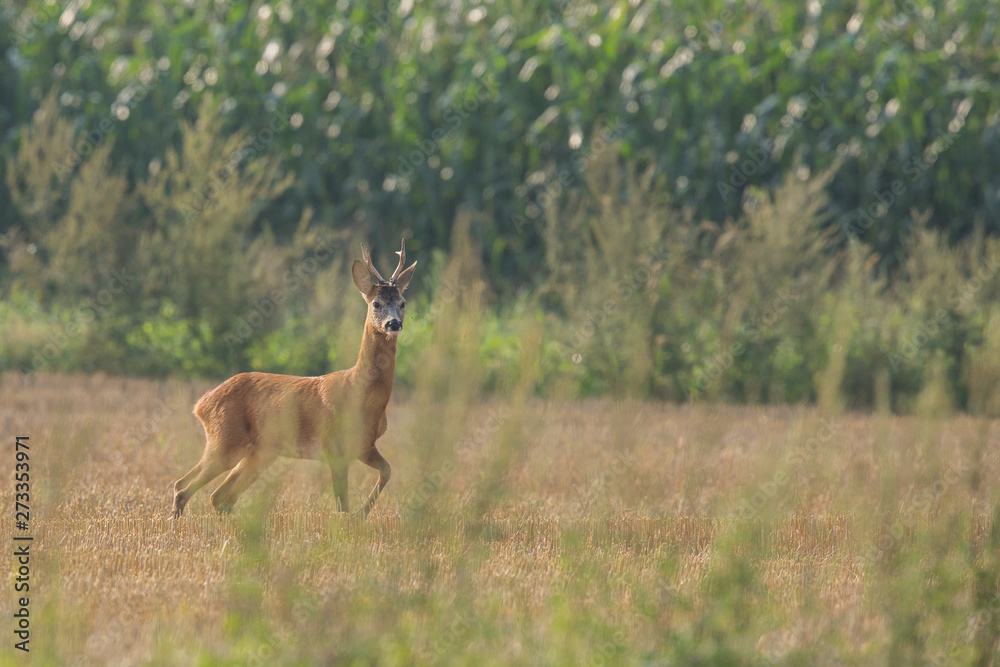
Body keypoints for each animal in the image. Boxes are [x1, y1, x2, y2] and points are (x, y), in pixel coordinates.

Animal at [172, 239, 416, 518]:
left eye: (403, 302)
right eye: (376, 303)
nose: (393, 324)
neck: (359, 391)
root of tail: (201, 404)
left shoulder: (364, 445)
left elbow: (387, 471)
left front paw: (362, 514)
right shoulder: (333, 446)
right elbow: (342, 505)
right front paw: (353, 519)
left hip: (260, 451)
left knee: (218, 495)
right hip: (225, 440)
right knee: (184, 486)